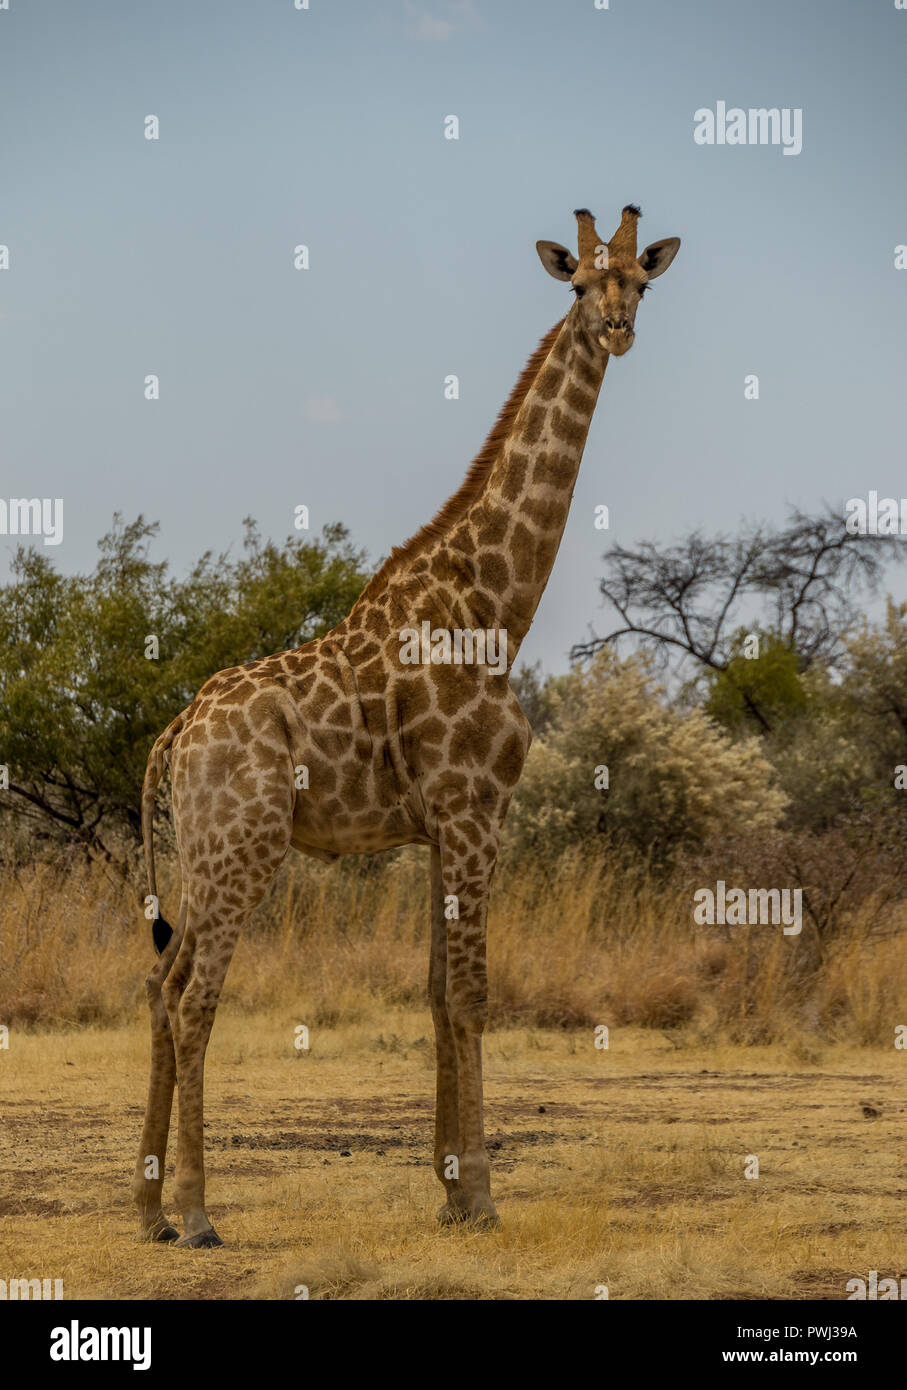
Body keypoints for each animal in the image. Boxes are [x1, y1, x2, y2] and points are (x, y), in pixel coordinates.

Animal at [133, 204, 680, 1246]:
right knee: (193, 997)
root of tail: (173, 735)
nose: (618, 327)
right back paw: (196, 1212)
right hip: (244, 846)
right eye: (578, 281)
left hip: (197, 850)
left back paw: (144, 1207)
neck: (499, 603)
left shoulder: (440, 824)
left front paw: (449, 1187)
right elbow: (469, 994)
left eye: (640, 278)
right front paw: (483, 1196)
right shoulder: (475, 810)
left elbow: (433, 991)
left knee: (157, 984)